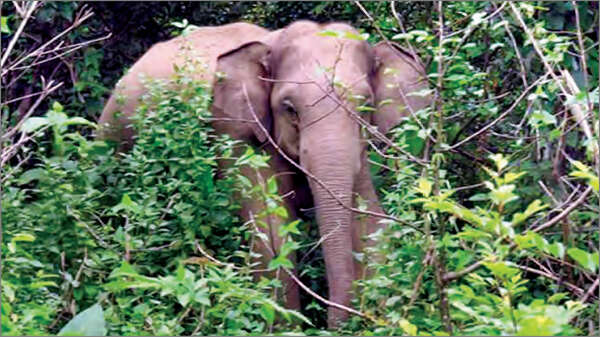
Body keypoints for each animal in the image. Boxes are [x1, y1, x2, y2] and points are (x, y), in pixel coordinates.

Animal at [98, 19, 428, 326]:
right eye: (289, 108)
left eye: (366, 107)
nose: (334, 322)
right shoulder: (233, 129)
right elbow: (270, 229)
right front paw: (288, 327)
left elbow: (372, 223)